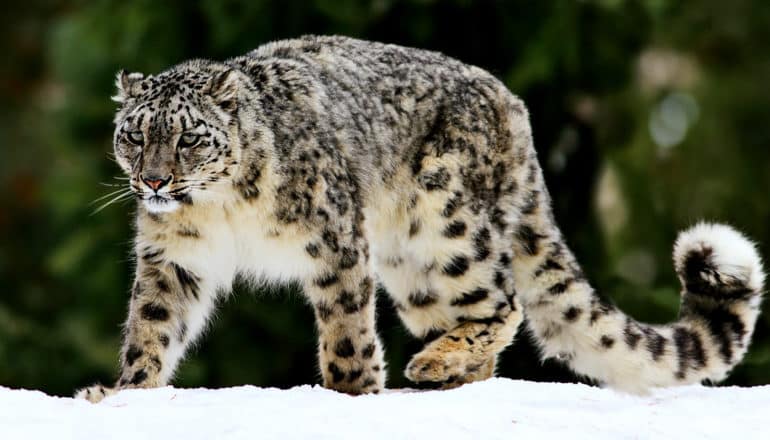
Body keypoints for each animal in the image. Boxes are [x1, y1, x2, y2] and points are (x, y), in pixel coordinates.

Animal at [73, 37, 760, 402]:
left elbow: (346, 327)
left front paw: (351, 394)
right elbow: (153, 327)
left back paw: (432, 364)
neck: (217, 210)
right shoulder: (173, 258)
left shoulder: (335, 240)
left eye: (188, 138)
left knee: (504, 302)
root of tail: (513, 106)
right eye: (133, 135)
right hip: (413, 267)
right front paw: (125, 393)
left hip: (444, 221)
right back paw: (448, 375)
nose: (154, 181)